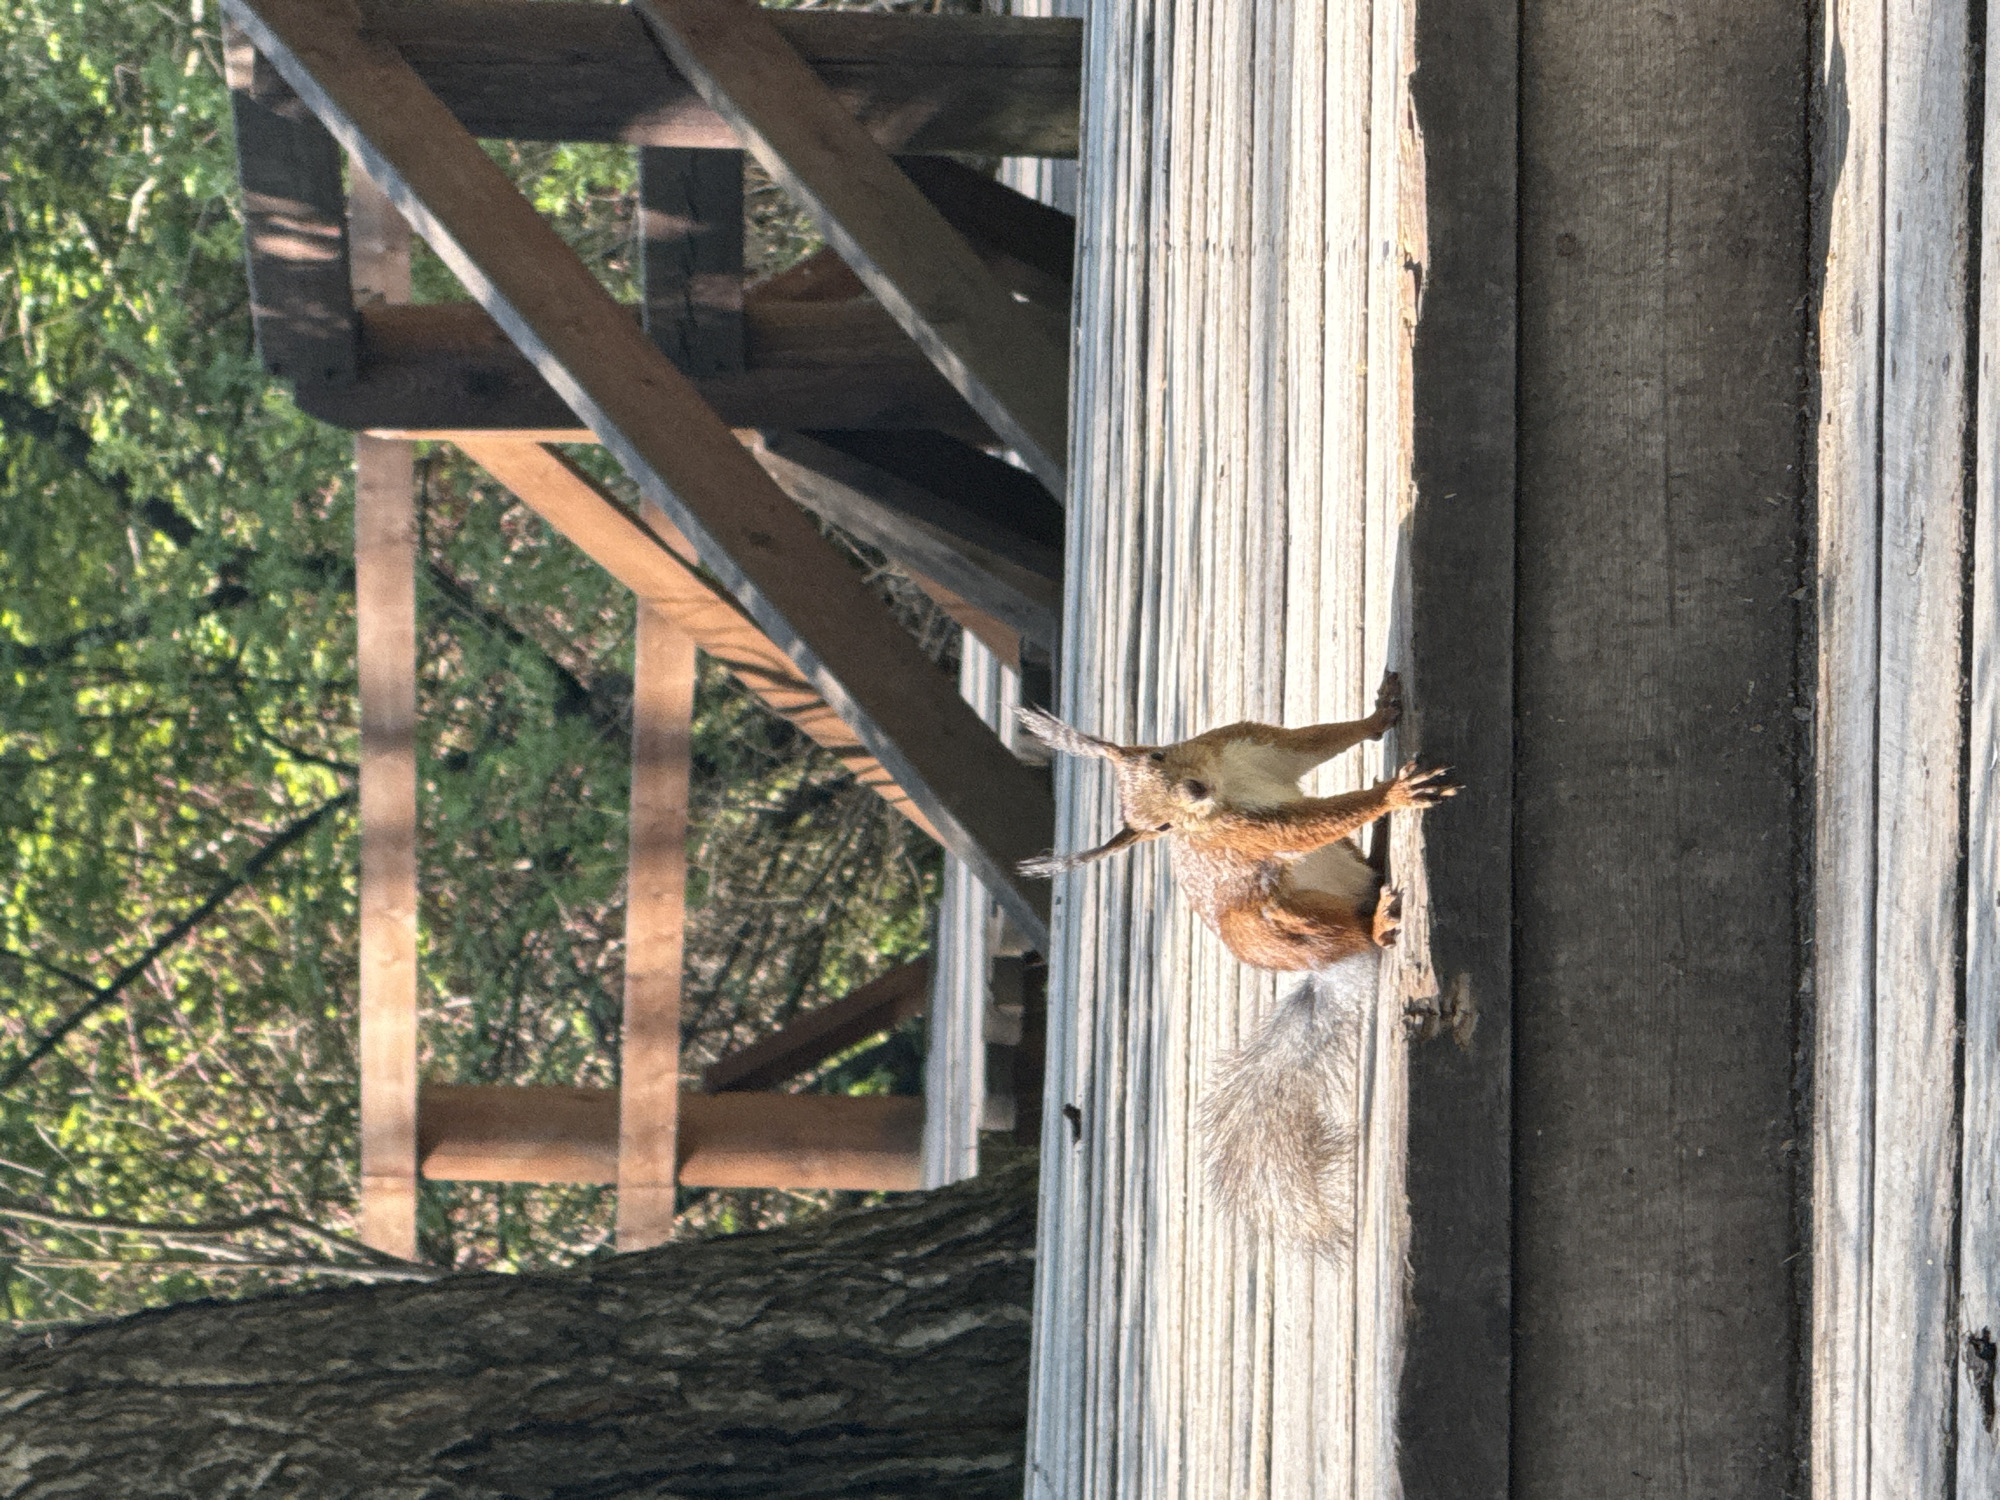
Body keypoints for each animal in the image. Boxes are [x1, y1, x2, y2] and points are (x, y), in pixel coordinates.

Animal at [1014, 671, 1456, 1258]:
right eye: (1160, 828)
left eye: (1156, 754)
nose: (1192, 793)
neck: (1225, 784)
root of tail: (1327, 965)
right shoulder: (1246, 832)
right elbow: (1303, 827)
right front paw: (1394, 795)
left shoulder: (1247, 744)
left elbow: (1319, 741)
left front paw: (1378, 717)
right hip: (1275, 918)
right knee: (1345, 929)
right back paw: (1378, 924)